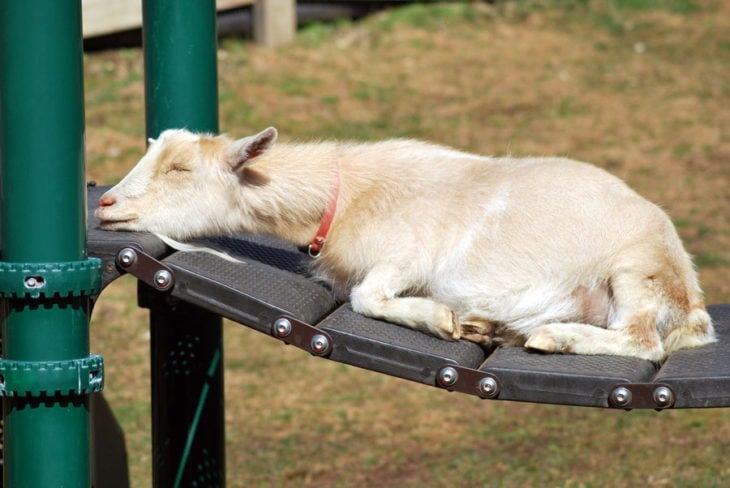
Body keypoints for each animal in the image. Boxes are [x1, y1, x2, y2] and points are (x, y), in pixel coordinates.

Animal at [94, 127, 712, 360]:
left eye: (180, 168)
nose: (106, 204)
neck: (343, 197)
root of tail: (694, 307)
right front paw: (462, 323)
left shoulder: (410, 256)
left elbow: (368, 298)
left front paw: (441, 320)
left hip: (636, 268)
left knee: (642, 342)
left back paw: (549, 335)